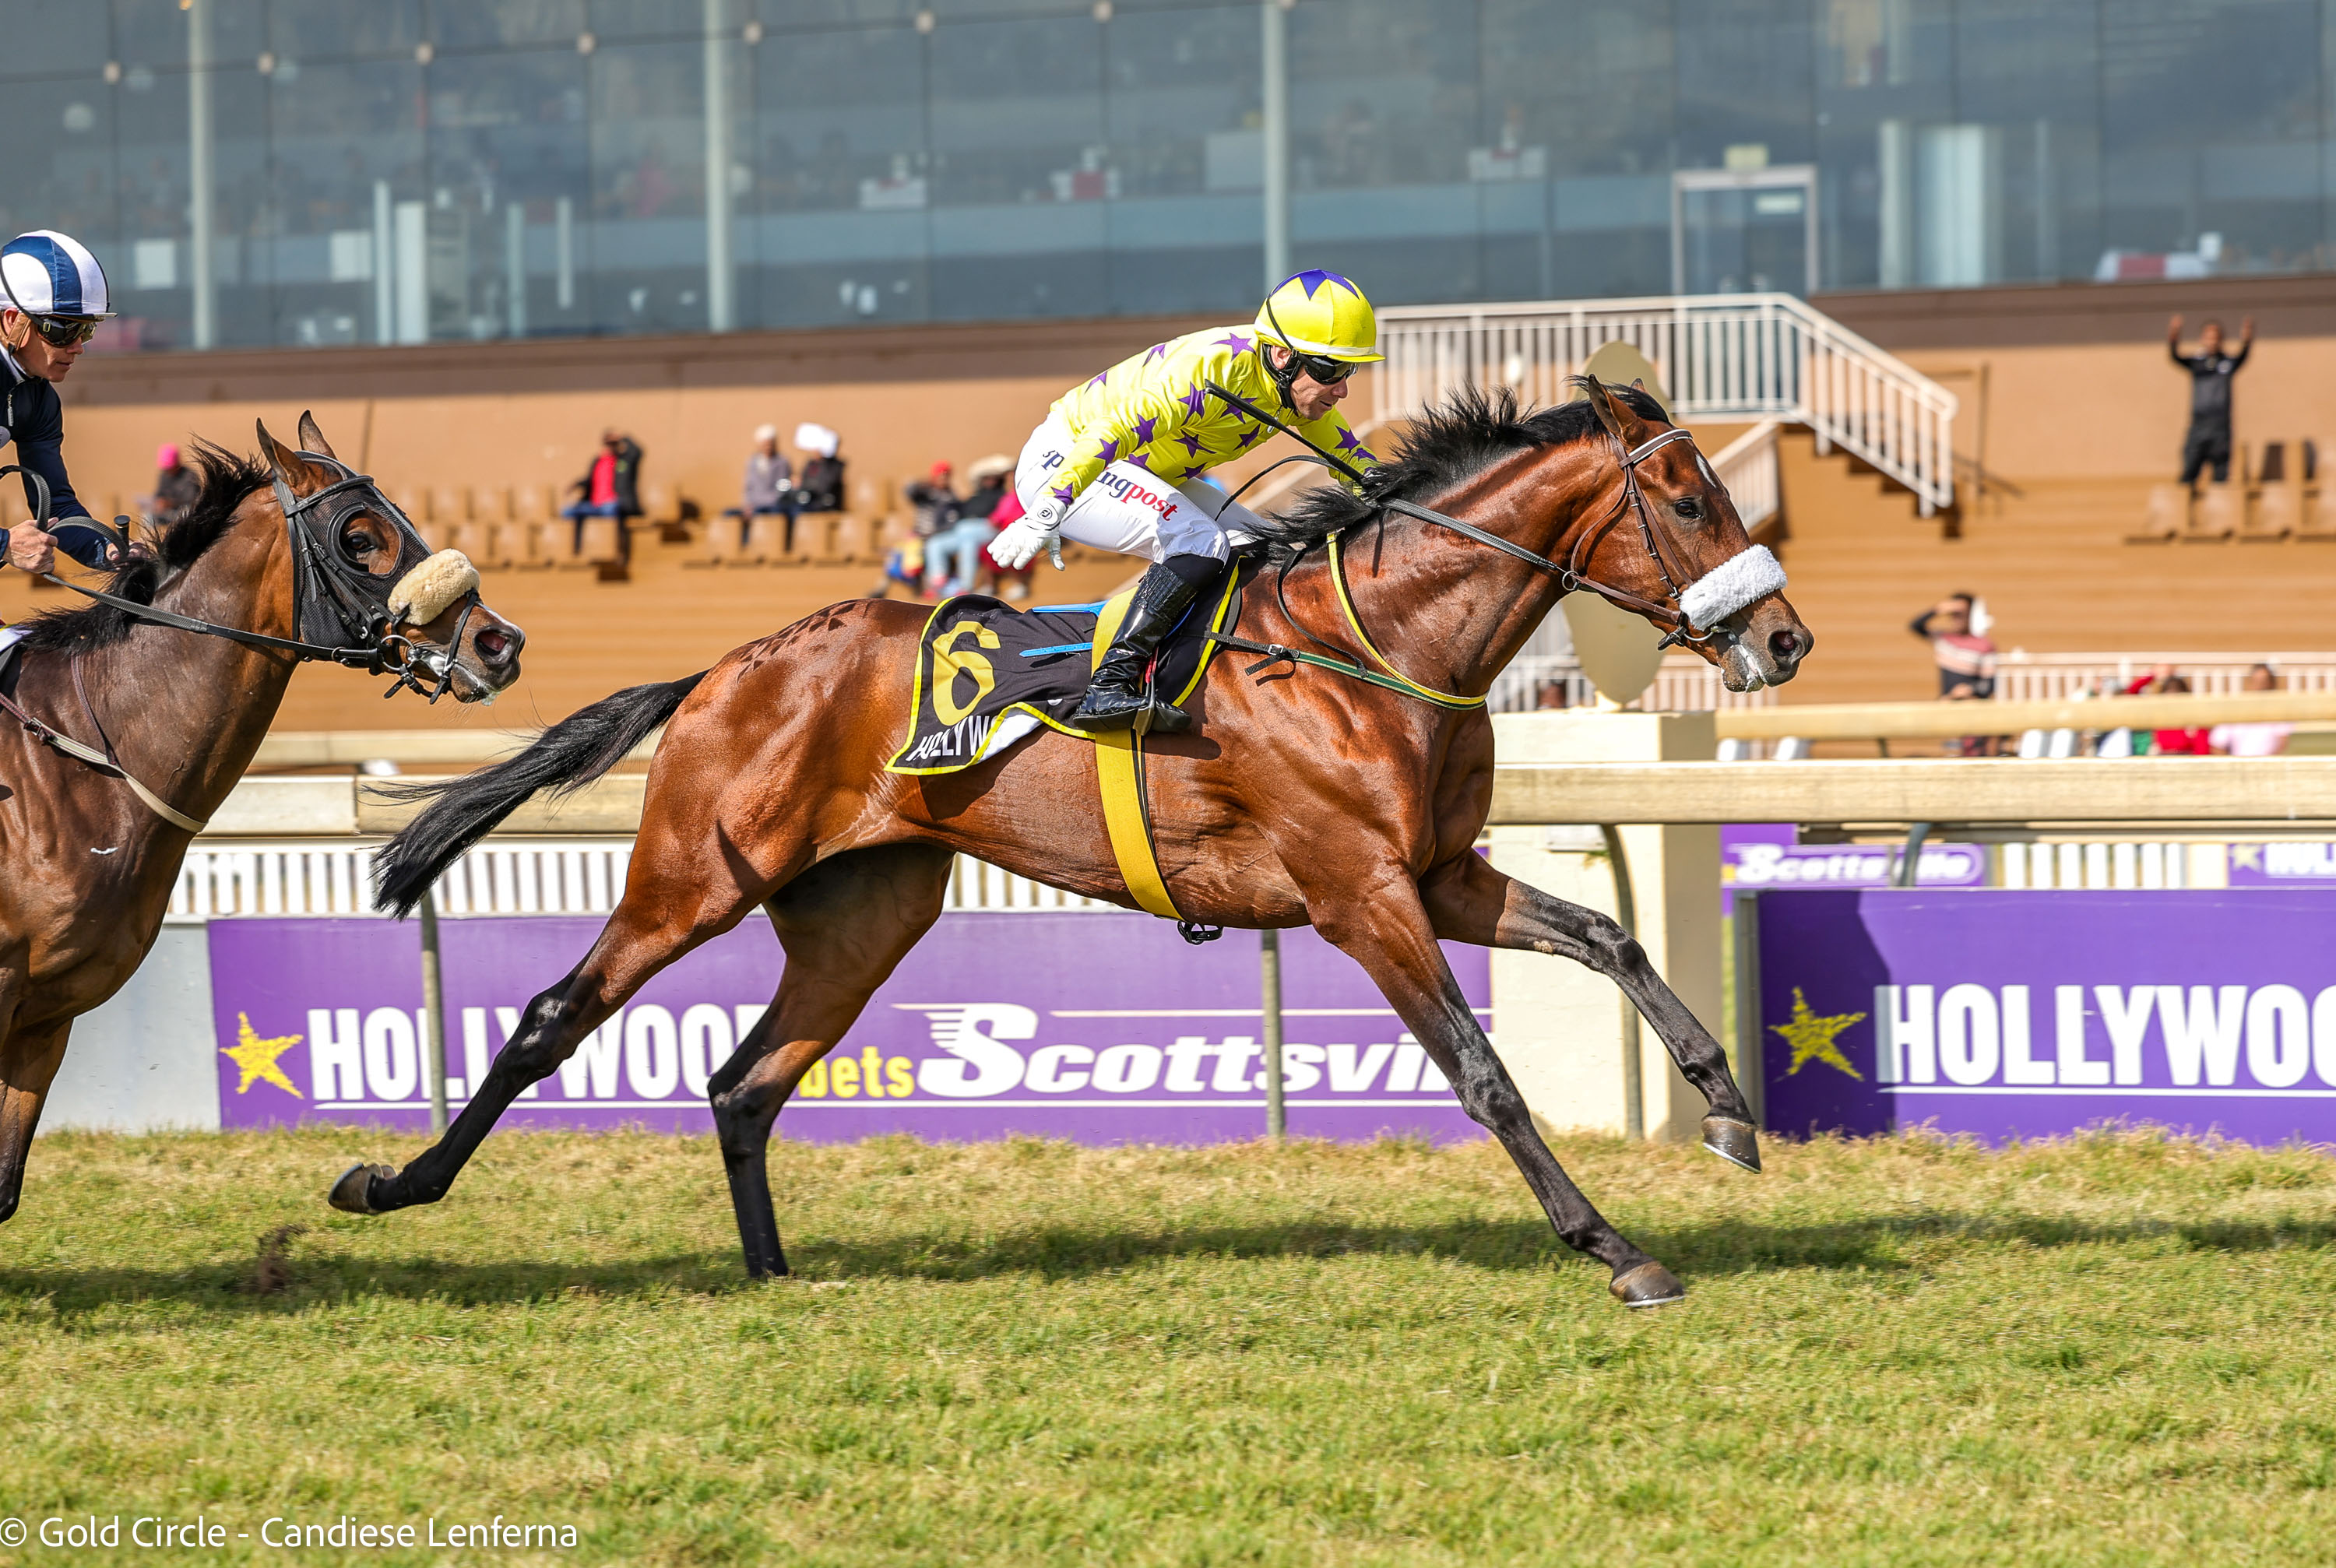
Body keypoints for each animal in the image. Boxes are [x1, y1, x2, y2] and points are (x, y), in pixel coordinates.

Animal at [347, 379, 1810, 1308]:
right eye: (1689, 498)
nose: (1787, 635)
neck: (1375, 645)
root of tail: (724, 665)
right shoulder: (1362, 895)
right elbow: (1484, 1072)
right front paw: (1613, 1245)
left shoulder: (1441, 876)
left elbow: (1610, 934)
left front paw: (1728, 1107)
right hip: (692, 875)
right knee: (554, 1015)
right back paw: (391, 1182)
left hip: (865, 911)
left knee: (746, 1080)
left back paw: (771, 1272)